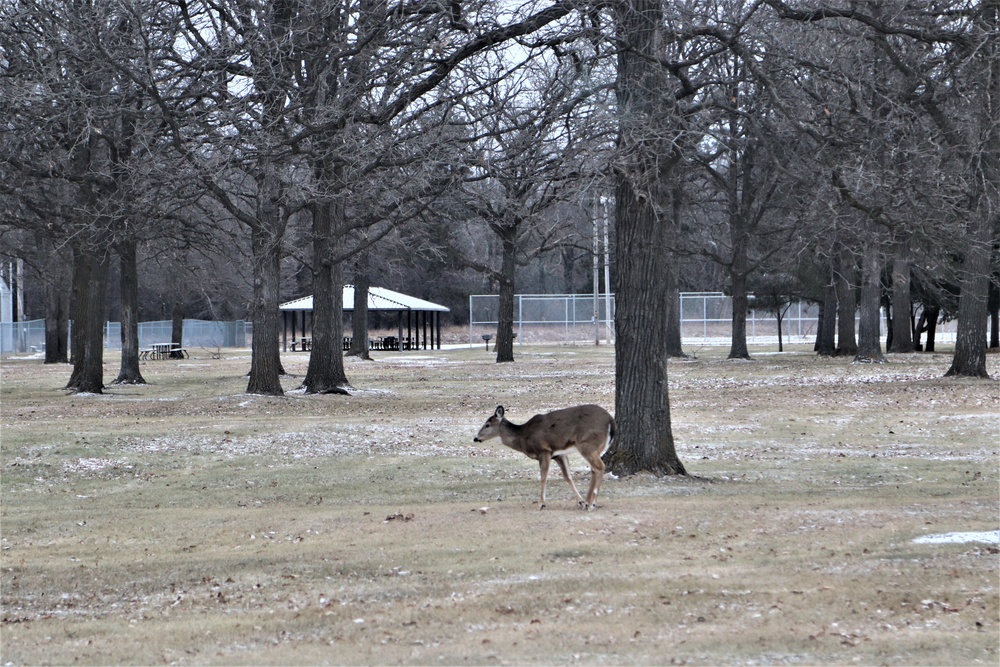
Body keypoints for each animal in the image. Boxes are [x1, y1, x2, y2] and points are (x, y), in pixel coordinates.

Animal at [472, 408, 612, 512]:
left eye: (487, 425)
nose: (475, 438)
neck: (523, 437)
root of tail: (611, 422)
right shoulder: (559, 455)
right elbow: (568, 477)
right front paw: (580, 502)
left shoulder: (543, 451)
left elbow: (543, 477)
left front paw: (541, 504)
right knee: (594, 469)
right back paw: (589, 502)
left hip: (588, 444)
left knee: (600, 467)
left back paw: (592, 504)